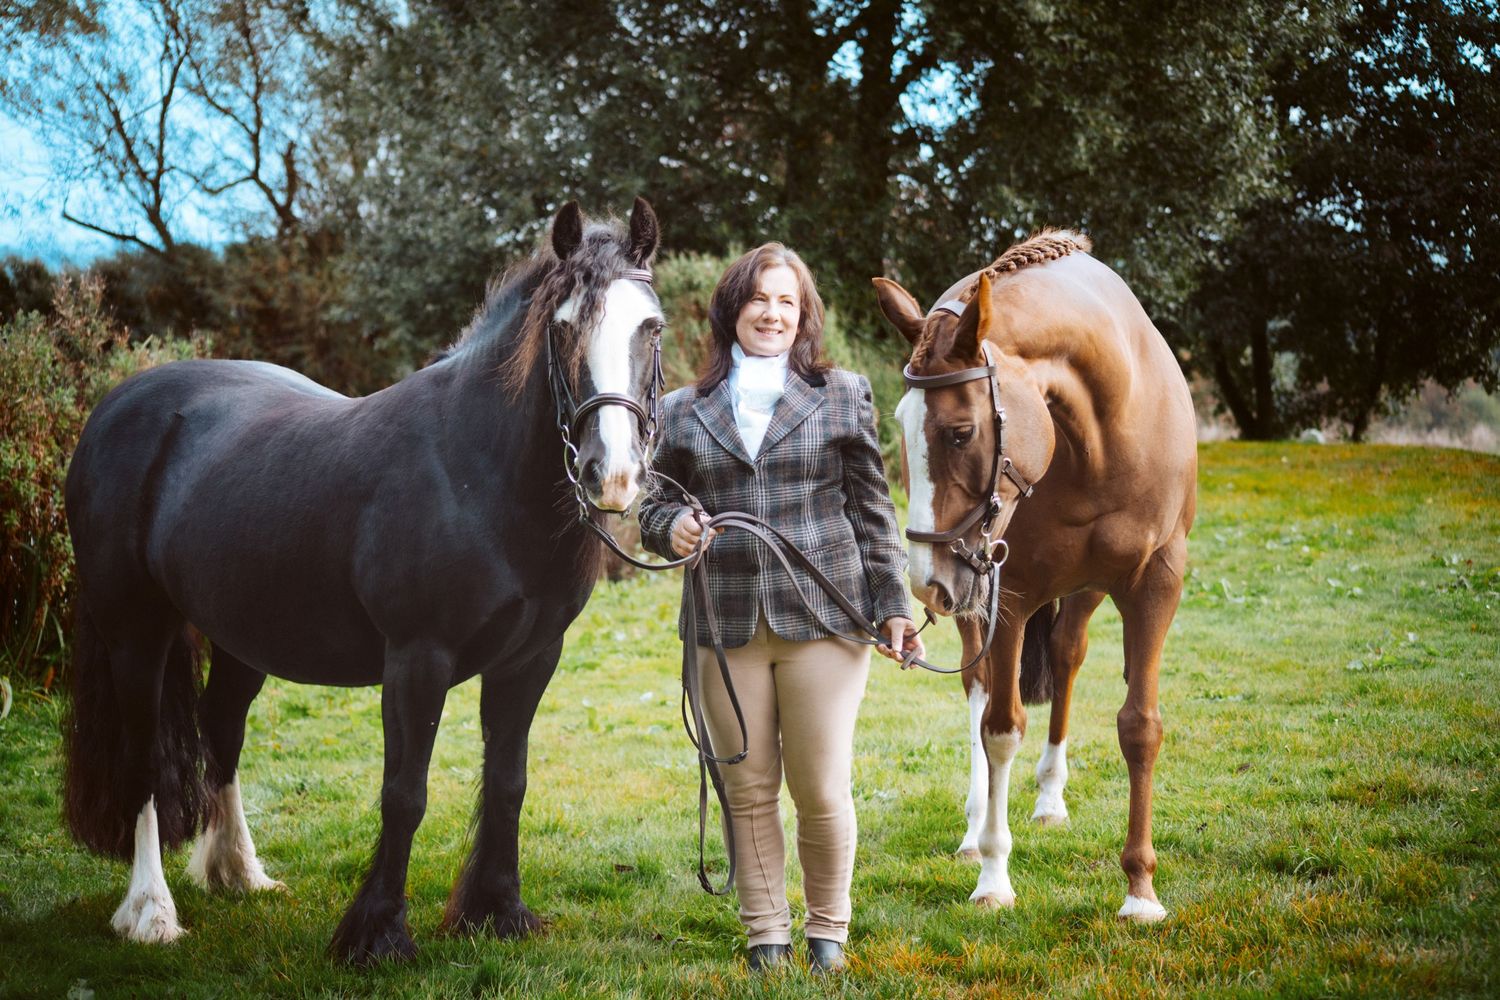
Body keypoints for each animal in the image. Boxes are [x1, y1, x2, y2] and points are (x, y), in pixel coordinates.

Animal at [61, 199, 664, 963]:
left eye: (651, 327)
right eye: (562, 330)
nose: (610, 474)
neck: (477, 473)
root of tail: (117, 405)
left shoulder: (531, 659)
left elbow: (508, 782)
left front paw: (496, 912)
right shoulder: (416, 659)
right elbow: (404, 793)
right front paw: (376, 935)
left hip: (241, 632)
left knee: (221, 728)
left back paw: (237, 872)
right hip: (135, 629)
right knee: (145, 759)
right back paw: (149, 911)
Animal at [874, 229, 1197, 922]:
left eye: (961, 432)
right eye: (903, 430)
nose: (927, 581)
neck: (1097, 435)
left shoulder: (1157, 583)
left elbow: (1140, 726)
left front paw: (1140, 891)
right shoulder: (1009, 595)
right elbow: (999, 728)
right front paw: (994, 877)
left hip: (1072, 589)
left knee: (1069, 657)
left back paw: (1050, 798)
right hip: (977, 599)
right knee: (977, 691)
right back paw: (975, 832)